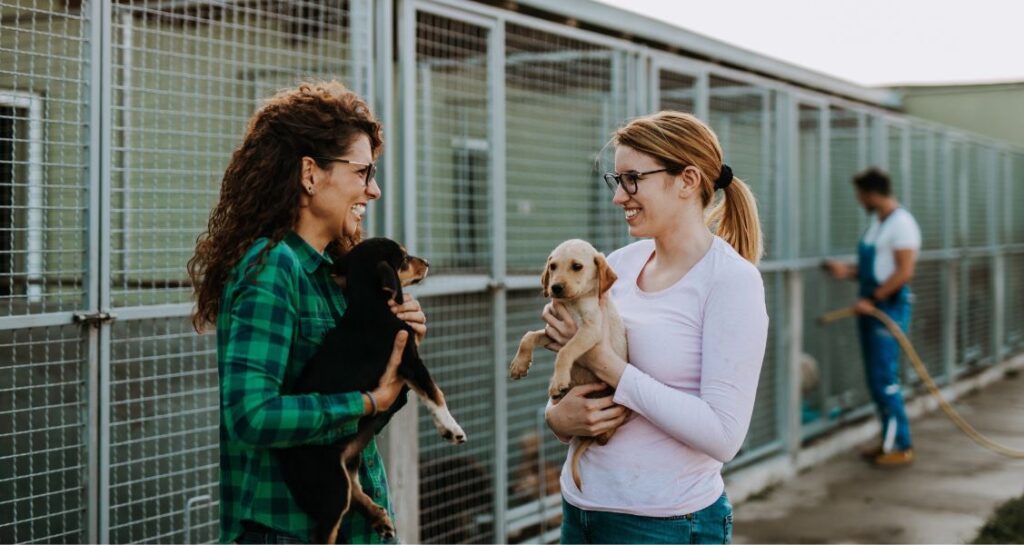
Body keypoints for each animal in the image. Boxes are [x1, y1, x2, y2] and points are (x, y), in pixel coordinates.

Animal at [272, 239, 464, 545]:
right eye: (404, 259)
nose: (427, 262)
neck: (369, 302)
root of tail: (281, 453)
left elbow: (428, 394)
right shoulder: (410, 360)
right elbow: (436, 393)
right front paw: (452, 429)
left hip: (349, 458)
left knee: (355, 489)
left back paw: (379, 517)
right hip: (330, 488)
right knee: (331, 522)